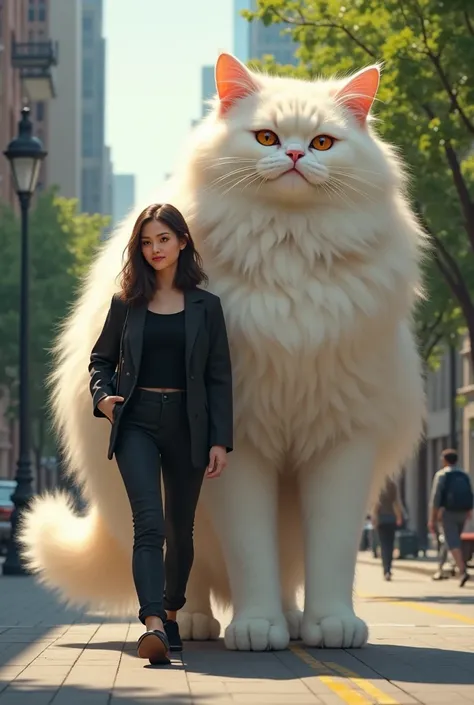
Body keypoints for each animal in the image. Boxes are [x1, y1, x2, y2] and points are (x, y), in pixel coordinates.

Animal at [19, 53, 426, 648]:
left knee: (282, 569)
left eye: (323, 142)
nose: (296, 155)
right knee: (192, 565)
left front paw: (332, 624)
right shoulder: (240, 443)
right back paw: (190, 623)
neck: (289, 253)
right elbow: (250, 551)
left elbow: (331, 551)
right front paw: (256, 627)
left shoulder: (343, 442)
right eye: (266, 137)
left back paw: (294, 621)